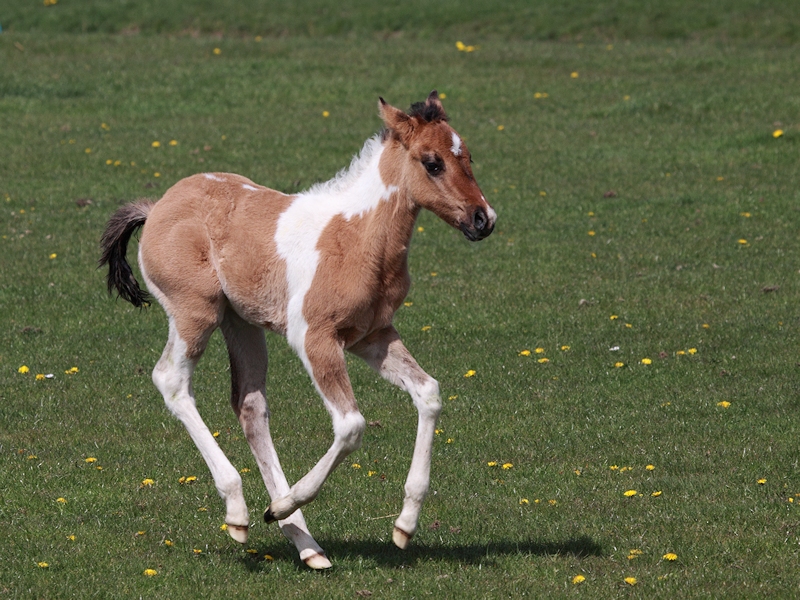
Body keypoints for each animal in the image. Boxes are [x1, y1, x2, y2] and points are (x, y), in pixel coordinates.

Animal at [100, 91, 494, 568]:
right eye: (432, 162)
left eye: (468, 156)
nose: (483, 219)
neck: (356, 236)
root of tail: (156, 207)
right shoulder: (315, 338)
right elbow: (351, 425)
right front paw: (283, 504)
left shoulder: (372, 336)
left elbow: (429, 393)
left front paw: (404, 526)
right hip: (196, 313)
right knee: (171, 381)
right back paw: (243, 511)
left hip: (241, 323)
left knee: (250, 405)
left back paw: (305, 544)